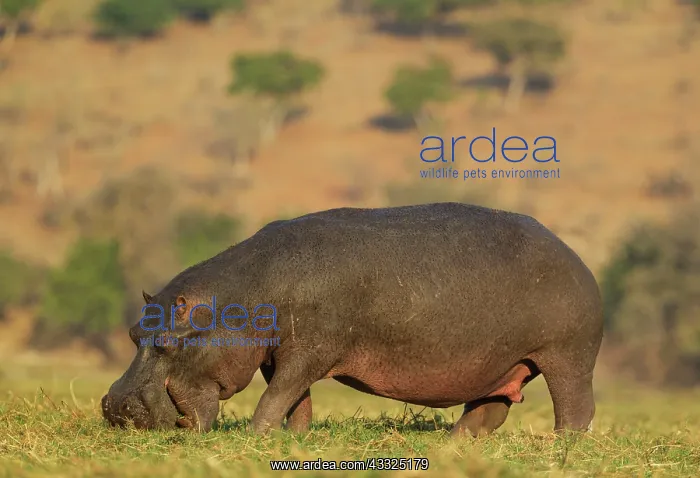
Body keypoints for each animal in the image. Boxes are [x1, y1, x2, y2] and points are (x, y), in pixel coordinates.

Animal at [102, 202, 604, 437]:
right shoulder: (277, 355)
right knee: (488, 411)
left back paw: (560, 446)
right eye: (134, 332)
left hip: (567, 356)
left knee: (576, 408)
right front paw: (292, 438)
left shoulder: (310, 351)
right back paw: (451, 443)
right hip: (501, 365)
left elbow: (277, 395)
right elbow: (295, 399)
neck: (244, 295)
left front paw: (257, 433)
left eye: (167, 342)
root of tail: (575, 254)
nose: (114, 407)